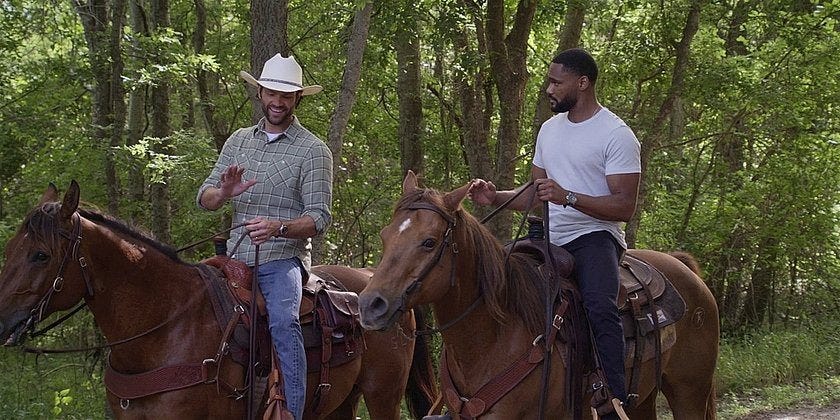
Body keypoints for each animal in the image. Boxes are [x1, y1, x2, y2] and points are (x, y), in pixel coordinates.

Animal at [0, 181, 434, 420]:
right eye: (10, 248)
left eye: (40, 255)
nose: (2, 320)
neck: (164, 325)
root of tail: (378, 281)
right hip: (338, 403)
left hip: (382, 395)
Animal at [358, 172, 720, 418]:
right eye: (385, 235)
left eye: (429, 242)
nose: (370, 305)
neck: (493, 338)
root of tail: (684, 268)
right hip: (644, 397)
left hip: (690, 391)